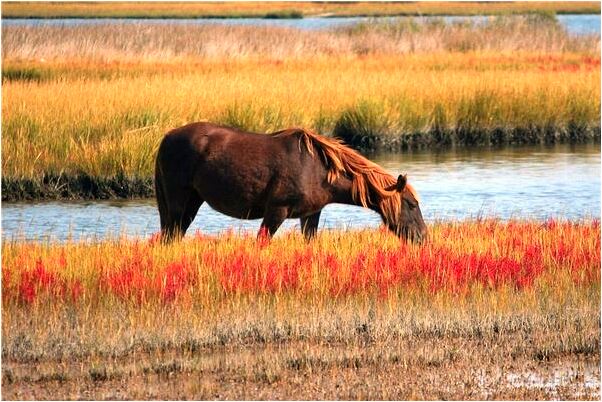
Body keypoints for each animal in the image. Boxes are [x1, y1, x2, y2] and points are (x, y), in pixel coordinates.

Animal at [155, 121, 426, 242]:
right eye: (412, 204)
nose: (423, 237)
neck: (320, 169)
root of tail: (167, 138)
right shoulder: (276, 211)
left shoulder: (311, 214)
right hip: (178, 203)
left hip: (192, 202)